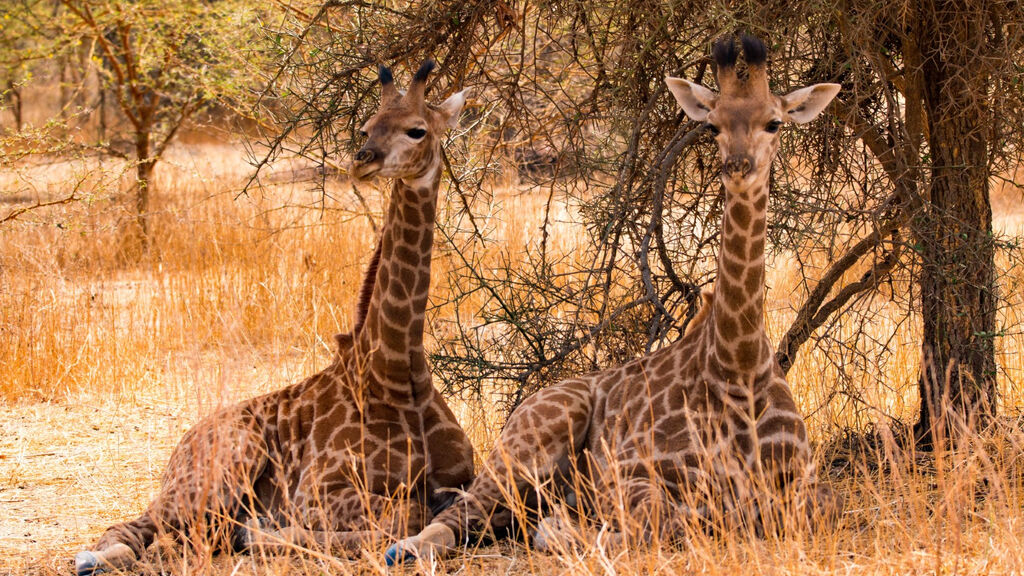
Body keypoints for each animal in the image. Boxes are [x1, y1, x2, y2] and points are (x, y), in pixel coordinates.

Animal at [75, 60, 475, 569]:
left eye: (416, 129)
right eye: (366, 126)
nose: (362, 160)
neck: (396, 369)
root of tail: (181, 446)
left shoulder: (466, 478)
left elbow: (437, 511)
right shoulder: (317, 492)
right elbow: (403, 515)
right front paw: (272, 533)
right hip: (225, 463)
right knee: (138, 528)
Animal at [385, 35, 839, 561]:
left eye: (774, 122)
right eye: (713, 124)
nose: (738, 167)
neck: (738, 367)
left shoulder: (806, 485)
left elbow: (807, 508)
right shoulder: (627, 474)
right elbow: (664, 522)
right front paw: (567, 533)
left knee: (493, 518)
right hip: (531, 438)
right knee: (456, 514)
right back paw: (407, 547)